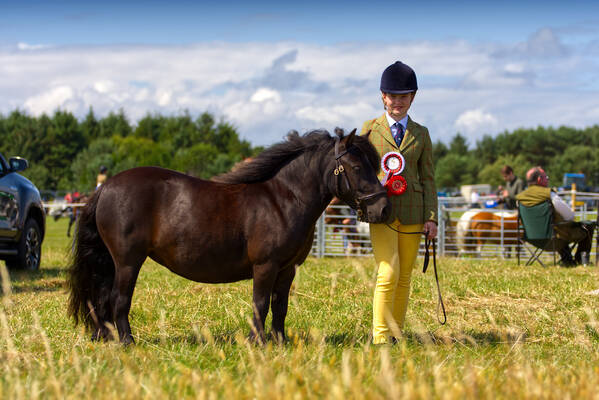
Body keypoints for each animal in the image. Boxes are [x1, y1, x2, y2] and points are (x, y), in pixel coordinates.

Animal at [68, 128, 392, 344]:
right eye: (356, 166)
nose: (383, 208)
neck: (283, 199)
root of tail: (105, 188)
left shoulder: (287, 269)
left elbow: (280, 305)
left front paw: (280, 341)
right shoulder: (266, 266)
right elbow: (260, 303)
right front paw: (256, 341)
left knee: (103, 299)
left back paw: (107, 337)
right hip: (127, 262)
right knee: (118, 299)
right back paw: (126, 342)